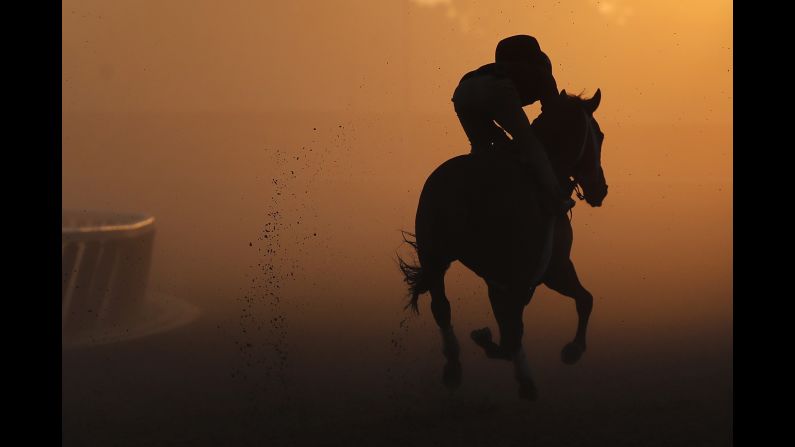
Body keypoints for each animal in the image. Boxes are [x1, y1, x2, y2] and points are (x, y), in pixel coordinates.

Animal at [398, 89, 608, 400]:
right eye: (599, 135)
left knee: (443, 308)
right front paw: (570, 351)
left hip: (434, 255)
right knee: (468, 316)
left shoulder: (520, 277)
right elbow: (524, 326)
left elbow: (580, 301)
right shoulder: (543, 271)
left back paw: (455, 367)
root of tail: (457, 186)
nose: (600, 189)